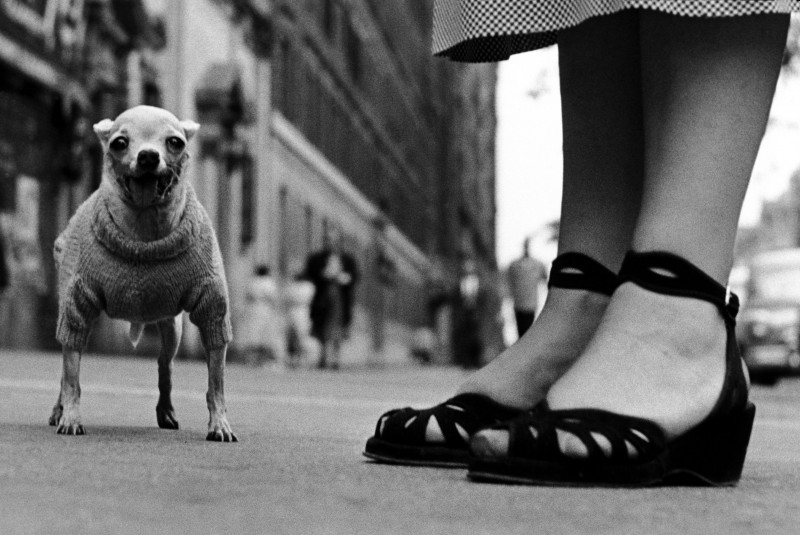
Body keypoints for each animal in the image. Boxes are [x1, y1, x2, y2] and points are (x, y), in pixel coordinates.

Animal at [49, 105, 236, 444]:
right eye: (120, 143)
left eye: (175, 142)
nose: (148, 156)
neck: (145, 228)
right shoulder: (75, 309)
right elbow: (72, 377)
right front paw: (70, 416)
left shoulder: (213, 312)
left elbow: (216, 383)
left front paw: (219, 423)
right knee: (66, 366)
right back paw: (59, 409)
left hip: (171, 327)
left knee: (165, 366)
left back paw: (166, 411)